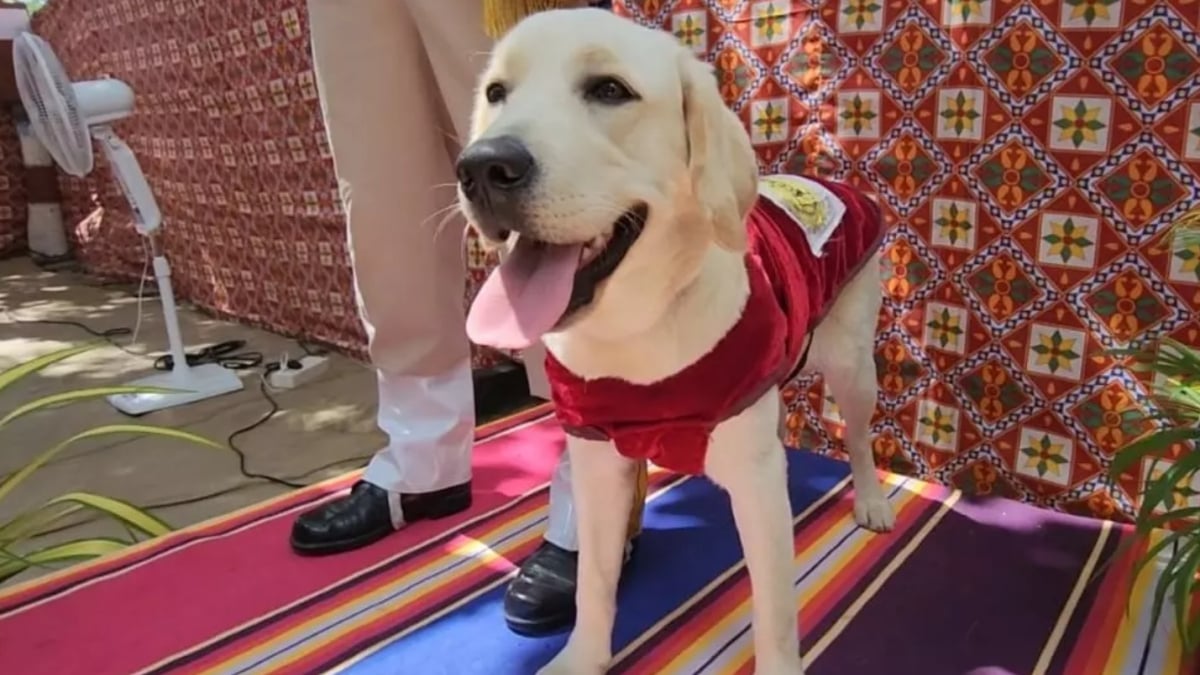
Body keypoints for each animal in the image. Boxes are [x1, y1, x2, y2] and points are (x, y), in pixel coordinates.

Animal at [453, 7, 897, 667]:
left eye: (610, 90)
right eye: (496, 93)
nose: (482, 166)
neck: (639, 328)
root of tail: (826, 182)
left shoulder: (757, 480)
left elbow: (775, 614)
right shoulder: (597, 461)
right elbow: (592, 586)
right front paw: (583, 659)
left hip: (852, 365)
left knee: (862, 437)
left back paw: (870, 499)